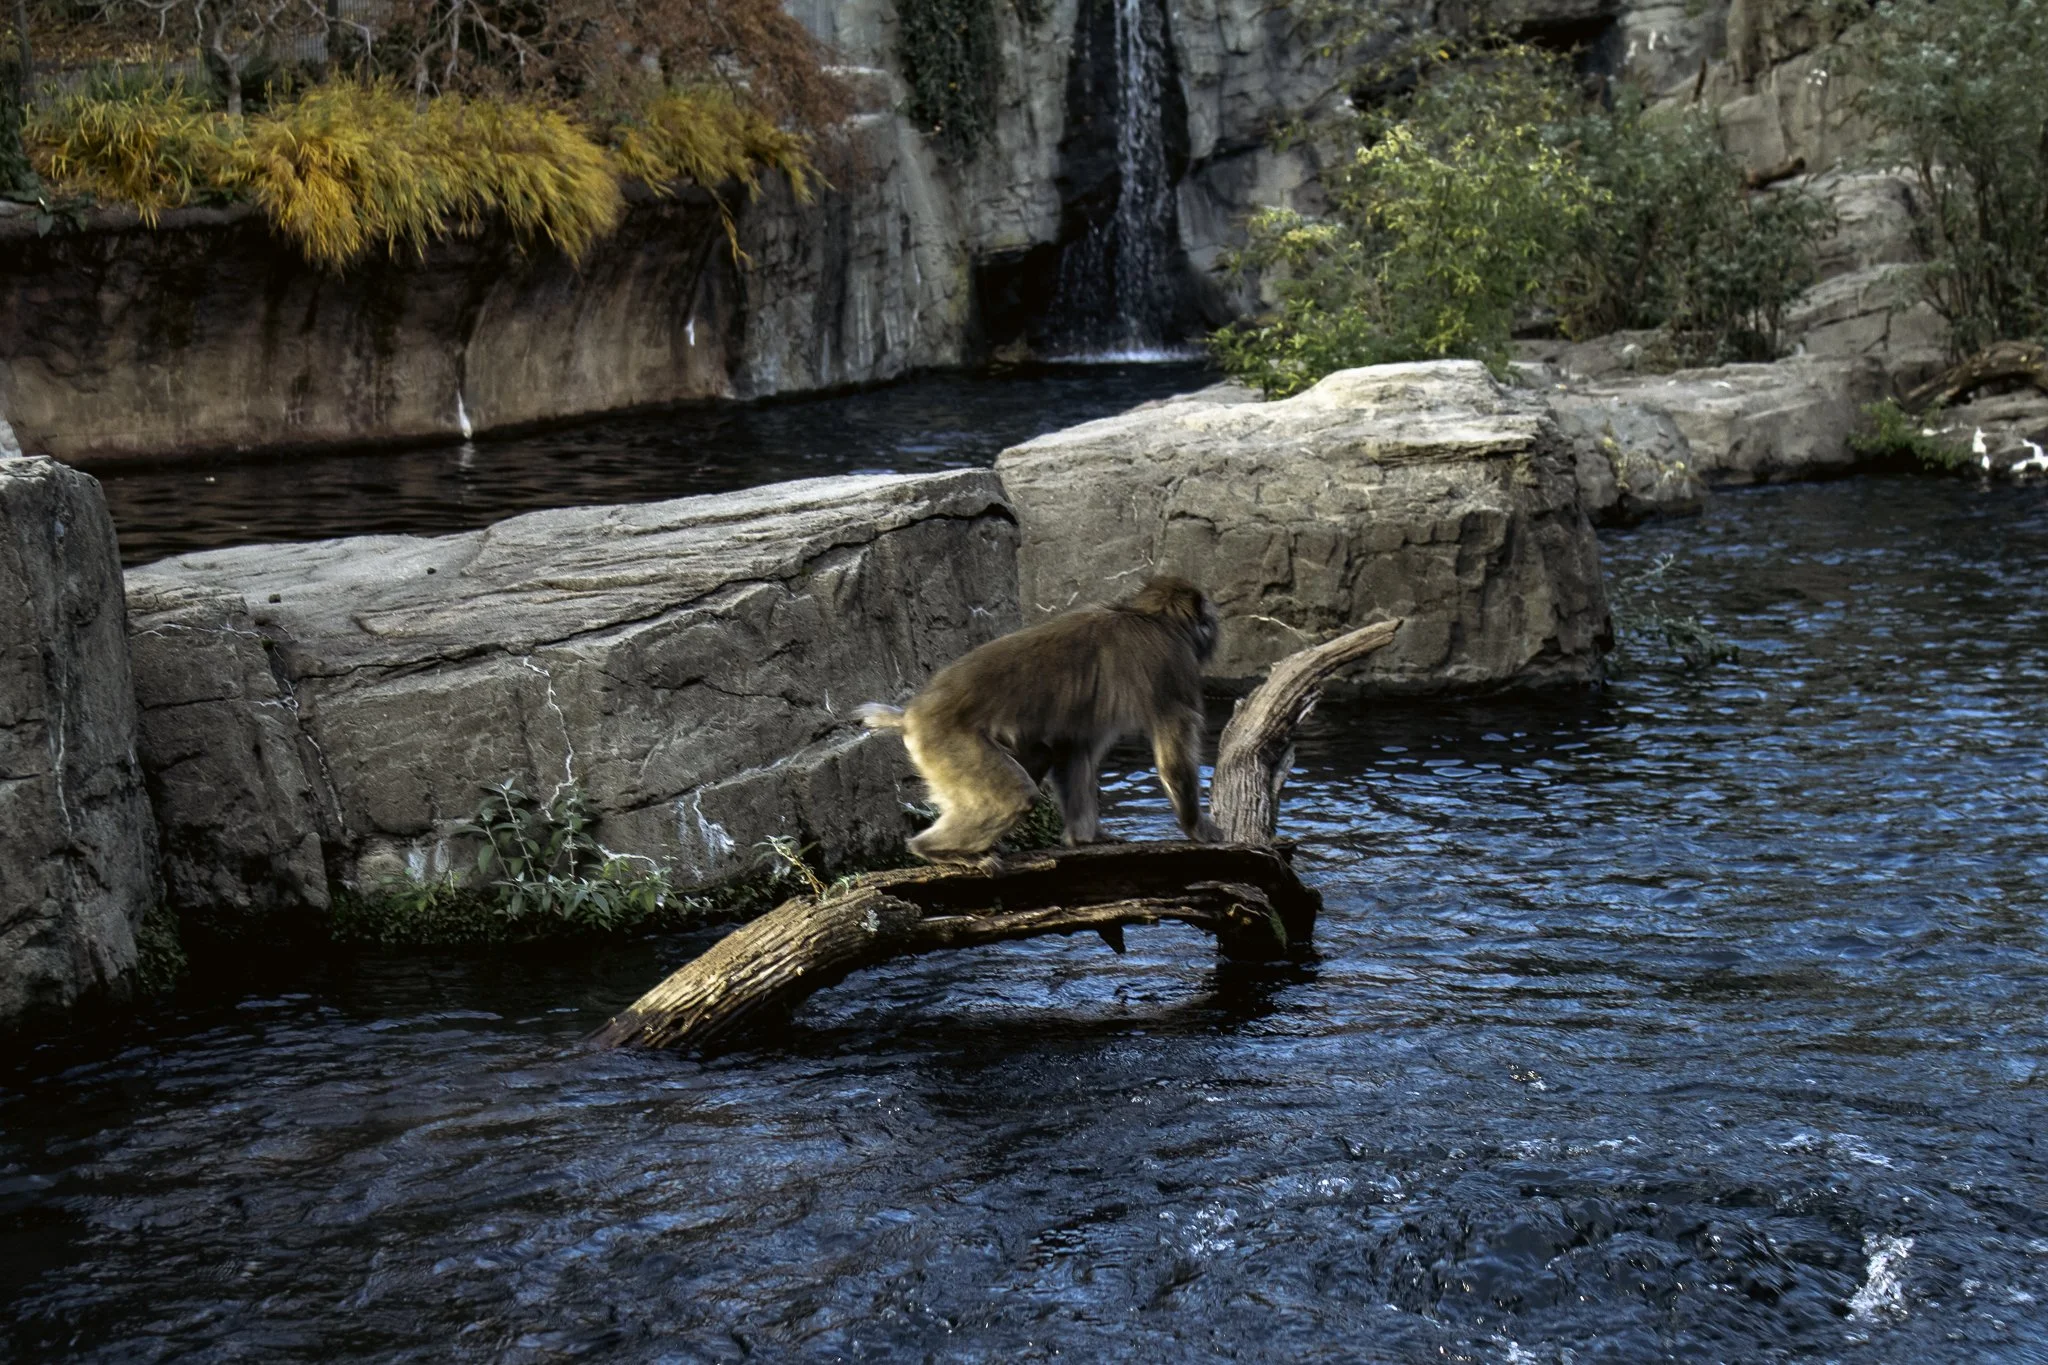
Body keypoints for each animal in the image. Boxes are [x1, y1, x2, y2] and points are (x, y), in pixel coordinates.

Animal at [856, 576, 1226, 863]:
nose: (1214, 630)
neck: (1147, 616)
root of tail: (911, 714)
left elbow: (1072, 749)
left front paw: (1086, 837)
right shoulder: (1173, 664)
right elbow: (1174, 759)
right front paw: (1198, 828)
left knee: (1040, 755)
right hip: (945, 740)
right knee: (1017, 796)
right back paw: (933, 849)